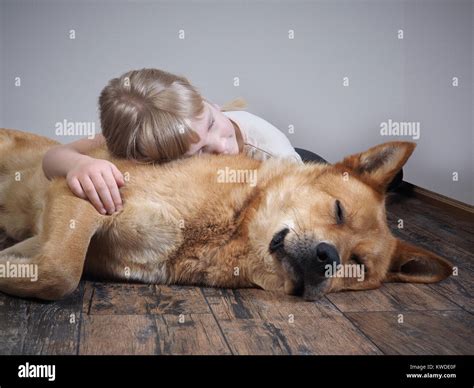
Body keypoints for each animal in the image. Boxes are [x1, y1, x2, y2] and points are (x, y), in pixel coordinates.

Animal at [0, 127, 452, 300]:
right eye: (338, 211)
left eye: (357, 264)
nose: (329, 259)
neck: (231, 224)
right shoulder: (81, 191)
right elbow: (61, 271)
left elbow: (53, 266)